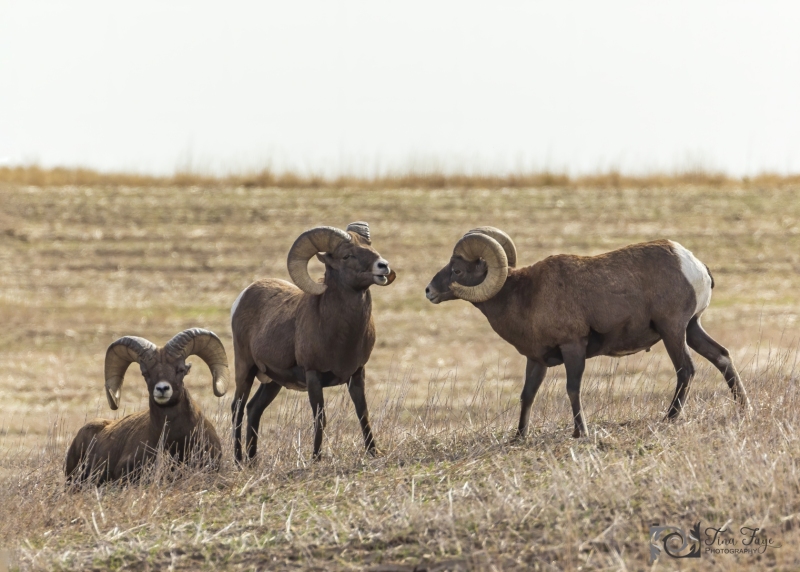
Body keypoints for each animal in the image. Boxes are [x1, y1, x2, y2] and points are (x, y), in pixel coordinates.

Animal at [230, 221, 396, 462]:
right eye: (347, 255)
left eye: (369, 247)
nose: (383, 266)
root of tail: (243, 296)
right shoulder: (313, 376)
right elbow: (320, 418)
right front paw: (316, 458)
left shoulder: (357, 374)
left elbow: (362, 414)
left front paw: (373, 452)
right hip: (245, 369)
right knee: (238, 408)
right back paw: (239, 459)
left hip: (272, 382)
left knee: (254, 409)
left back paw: (252, 461)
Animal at [425, 227, 749, 439]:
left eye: (456, 270)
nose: (429, 291)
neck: (521, 295)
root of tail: (694, 266)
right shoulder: (536, 360)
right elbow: (528, 394)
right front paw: (519, 436)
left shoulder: (573, 347)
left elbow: (573, 389)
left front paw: (580, 432)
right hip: (692, 328)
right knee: (721, 356)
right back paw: (743, 409)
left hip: (672, 330)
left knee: (686, 370)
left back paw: (669, 418)